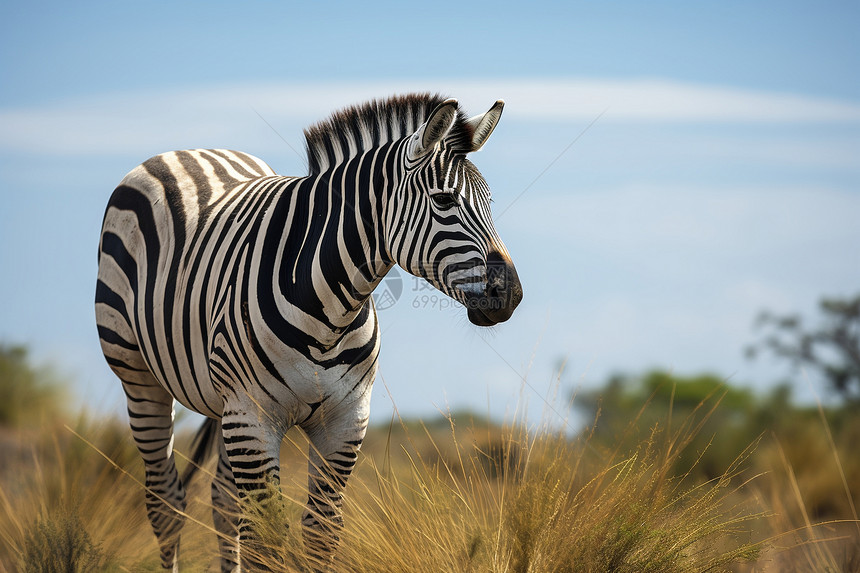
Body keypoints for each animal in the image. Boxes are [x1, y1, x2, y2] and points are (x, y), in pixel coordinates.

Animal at [96, 94, 520, 568]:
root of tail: (191, 151)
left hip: (222, 407)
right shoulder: (253, 417)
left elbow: (320, 534)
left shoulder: (345, 420)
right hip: (141, 380)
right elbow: (266, 541)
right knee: (165, 502)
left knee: (223, 501)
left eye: (489, 202)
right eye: (444, 200)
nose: (511, 295)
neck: (329, 313)